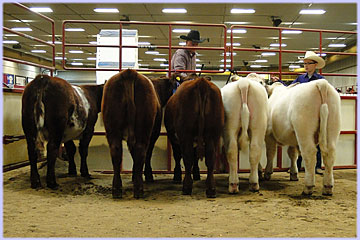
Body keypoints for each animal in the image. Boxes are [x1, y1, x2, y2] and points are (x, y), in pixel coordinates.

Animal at [102, 69, 160, 199]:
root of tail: (129, 72)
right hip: (143, 130)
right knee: (140, 151)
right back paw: (138, 189)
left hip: (113, 128)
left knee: (116, 152)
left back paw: (117, 190)